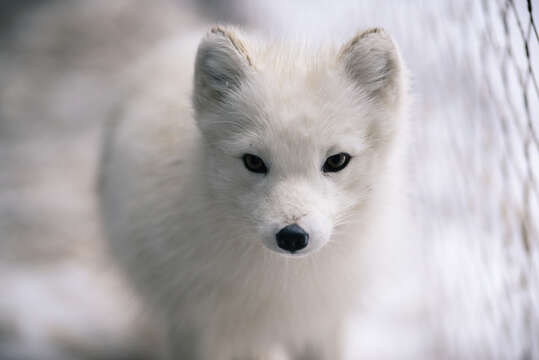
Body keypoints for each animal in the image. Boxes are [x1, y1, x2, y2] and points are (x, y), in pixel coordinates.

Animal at [98, 26, 410, 360]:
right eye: (253, 162)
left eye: (337, 161)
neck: (282, 284)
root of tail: (180, 38)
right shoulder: (196, 327)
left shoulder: (322, 323)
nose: (292, 236)